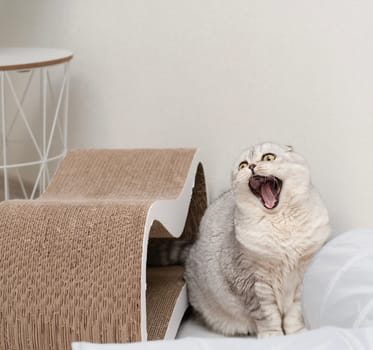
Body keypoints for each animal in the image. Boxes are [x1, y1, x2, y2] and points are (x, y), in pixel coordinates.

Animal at [183, 142, 328, 336]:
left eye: (268, 157)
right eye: (242, 165)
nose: (251, 166)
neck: (280, 220)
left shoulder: (303, 275)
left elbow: (294, 314)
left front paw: (297, 334)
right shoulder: (252, 283)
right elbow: (267, 316)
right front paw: (273, 336)